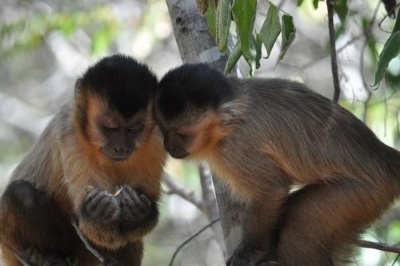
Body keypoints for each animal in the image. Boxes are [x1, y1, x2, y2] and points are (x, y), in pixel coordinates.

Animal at [0, 54, 166, 266]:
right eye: (110, 129)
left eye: (134, 130)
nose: (121, 148)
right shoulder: (69, 132)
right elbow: (93, 227)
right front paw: (98, 213)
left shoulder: (158, 137)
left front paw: (138, 213)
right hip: (11, 245)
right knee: (20, 193)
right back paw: (47, 256)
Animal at [154, 62, 400, 266]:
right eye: (164, 130)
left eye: (183, 135)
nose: (169, 146)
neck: (229, 123)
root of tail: (385, 157)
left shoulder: (235, 148)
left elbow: (272, 189)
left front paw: (251, 253)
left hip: (363, 193)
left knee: (299, 227)